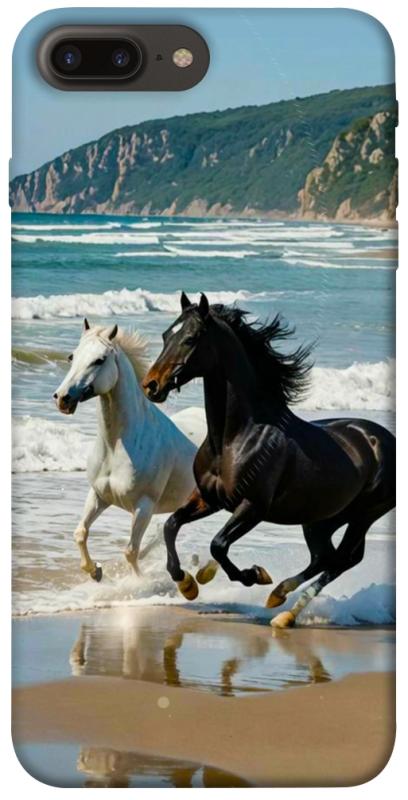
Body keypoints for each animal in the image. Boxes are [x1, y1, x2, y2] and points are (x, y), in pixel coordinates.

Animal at [53, 318, 197, 581]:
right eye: (72, 356)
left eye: (99, 360)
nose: (62, 398)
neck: (117, 446)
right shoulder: (99, 495)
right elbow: (80, 533)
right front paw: (95, 571)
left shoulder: (144, 506)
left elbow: (130, 552)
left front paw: (138, 583)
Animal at [142, 292, 395, 628]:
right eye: (165, 335)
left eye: (191, 338)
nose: (151, 385)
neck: (235, 438)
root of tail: (386, 440)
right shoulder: (209, 498)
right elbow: (171, 525)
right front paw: (188, 584)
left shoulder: (253, 507)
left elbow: (218, 545)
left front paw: (253, 575)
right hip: (321, 518)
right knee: (326, 557)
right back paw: (279, 598)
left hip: (364, 514)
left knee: (341, 559)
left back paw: (283, 610)